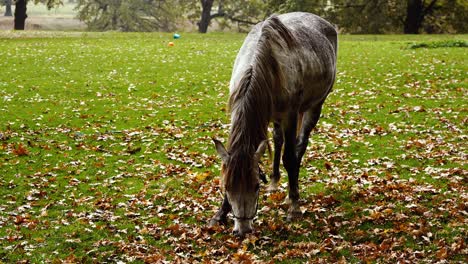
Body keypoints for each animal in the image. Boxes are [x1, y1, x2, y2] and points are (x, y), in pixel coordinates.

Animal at [211, 12, 336, 236]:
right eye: (227, 187)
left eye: (255, 186)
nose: (243, 230)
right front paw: (220, 214)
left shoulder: (290, 116)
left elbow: (290, 158)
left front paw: (294, 206)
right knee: (278, 141)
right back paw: (275, 182)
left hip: (314, 106)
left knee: (299, 147)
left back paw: (290, 193)